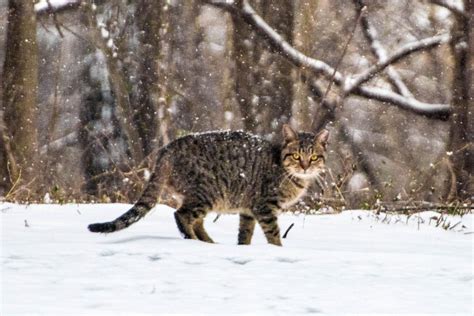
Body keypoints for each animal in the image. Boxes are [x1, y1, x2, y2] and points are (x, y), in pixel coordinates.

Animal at [89, 124, 328, 246]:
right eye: (296, 156)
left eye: (314, 157)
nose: (305, 166)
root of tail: (167, 149)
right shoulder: (264, 207)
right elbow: (274, 234)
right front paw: (278, 250)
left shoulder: (248, 210)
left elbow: (245, 234)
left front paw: (244, 248)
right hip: (207, 192)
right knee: (181, 215)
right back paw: (194, 241)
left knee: (196, 221)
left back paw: (208, 242)